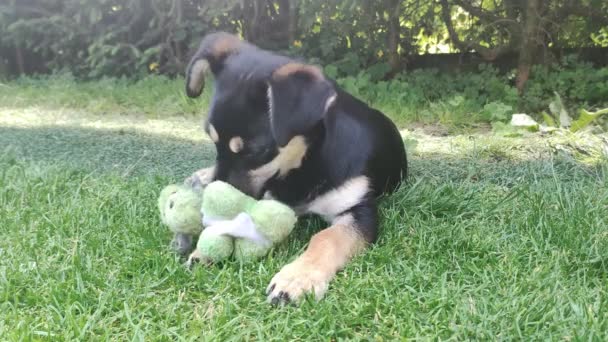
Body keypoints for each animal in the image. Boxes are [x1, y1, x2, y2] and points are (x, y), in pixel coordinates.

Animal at [182, 32, 408, 304]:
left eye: (257, 152)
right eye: (212, 140)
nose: (214, 215)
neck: (306, 167)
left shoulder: (359, 212)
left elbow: (327, 237)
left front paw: (299, 277)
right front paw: (205, 249)